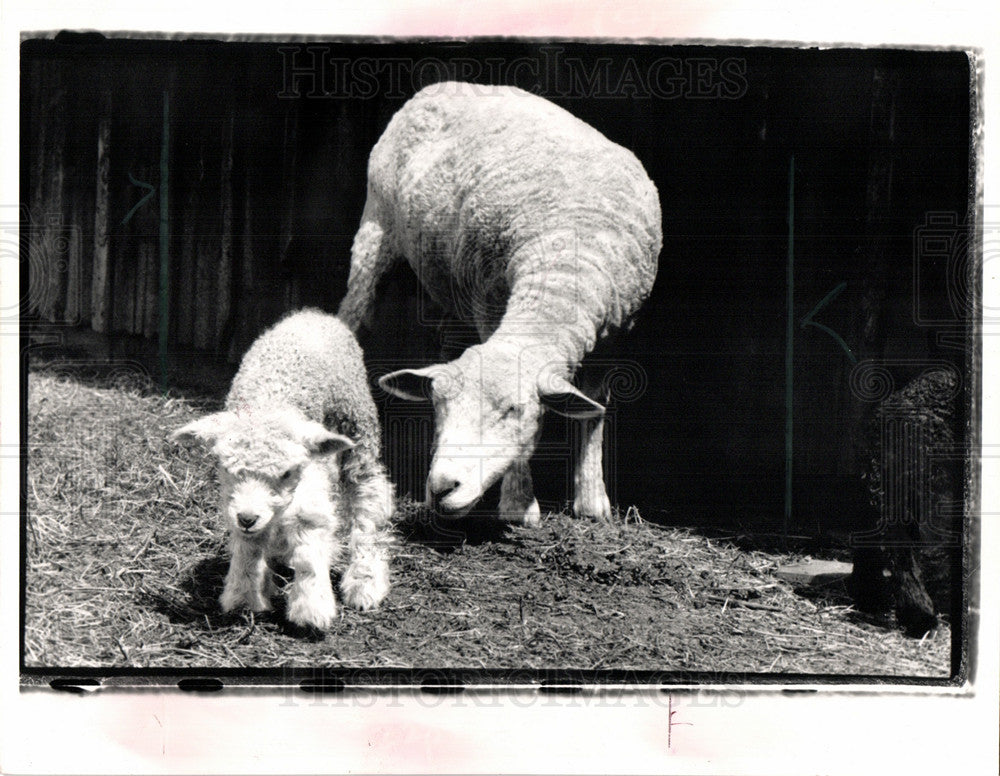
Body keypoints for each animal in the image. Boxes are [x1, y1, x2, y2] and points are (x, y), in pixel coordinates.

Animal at [170, 306, 392, 628]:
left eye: (287, 473)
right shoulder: (237, 502)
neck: (269, 403)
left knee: (369, 496)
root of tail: (317, 314)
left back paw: (364, 580)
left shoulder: (310, 475)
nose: (247, 518)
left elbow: (310, 530)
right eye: (226, 469)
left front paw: (311, 607)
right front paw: (245, 595)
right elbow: (248, 546)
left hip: (357, 426)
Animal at [340, 82, 660, 524]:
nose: (442, 487)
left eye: (512, 410)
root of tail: (440, 86)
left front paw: (592, 502)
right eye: (439, 405)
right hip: (376, 228)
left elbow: (594, 412)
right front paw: (517, 504)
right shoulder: (490, 306)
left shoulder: (612, 338)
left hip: (451, 283)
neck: (567, 264)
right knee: (352, 318)